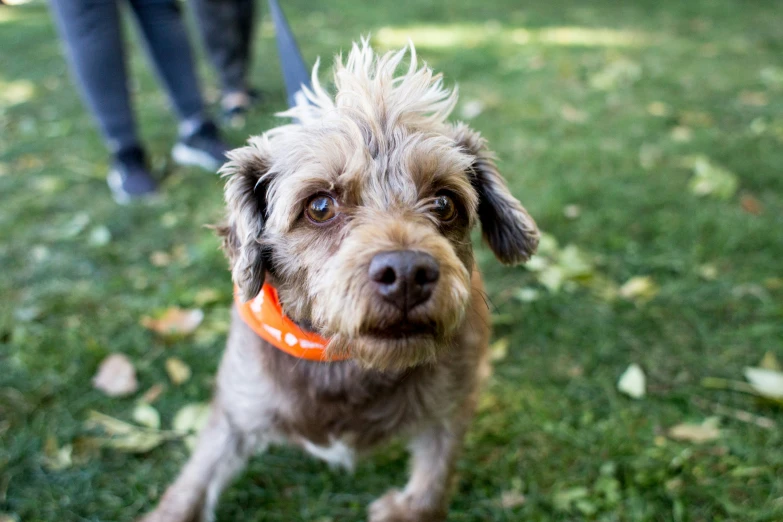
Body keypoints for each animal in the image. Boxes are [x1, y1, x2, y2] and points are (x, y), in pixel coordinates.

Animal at [142, 40, 540, 520]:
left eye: (445, 202)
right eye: (319, 206)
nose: (407, 273)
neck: (343, 362)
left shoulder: (453, 404)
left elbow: (434, 475)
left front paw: (407, 509)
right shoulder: (235, 411)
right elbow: (194, 481)